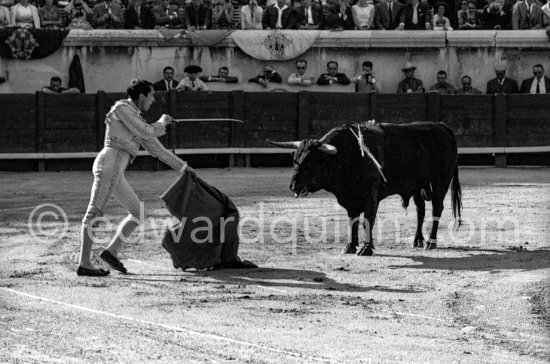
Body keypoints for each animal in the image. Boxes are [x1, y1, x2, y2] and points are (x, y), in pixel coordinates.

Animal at [270, 121, 464, 256]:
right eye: (295, 159)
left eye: (310, 163)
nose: (293, 186)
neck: (348, 155)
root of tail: (441, 126)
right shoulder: (350, 199)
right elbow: (353, 221)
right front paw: (350, 246)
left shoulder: (371, 196)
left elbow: (367, 220)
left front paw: (366, 249)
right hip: (417, 184)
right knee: (420, 210)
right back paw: (417, 241)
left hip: (441, 180)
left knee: (437, 208)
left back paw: (431, 242)